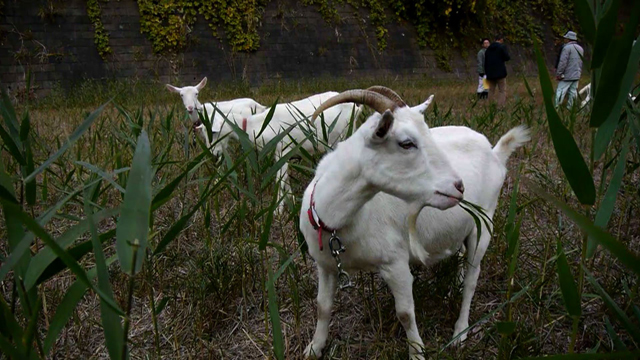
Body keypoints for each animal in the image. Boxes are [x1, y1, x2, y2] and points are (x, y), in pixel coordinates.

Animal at [300, 88, 528, 360]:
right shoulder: (325, 265)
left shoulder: (395, 262)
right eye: (406, 143)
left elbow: (406, 314)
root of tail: (495, 152)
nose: (459, 186)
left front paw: (417, 353)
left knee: (473, 277)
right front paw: (314, 348)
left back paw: (460, 332)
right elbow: (322, 306)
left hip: (483, 223)